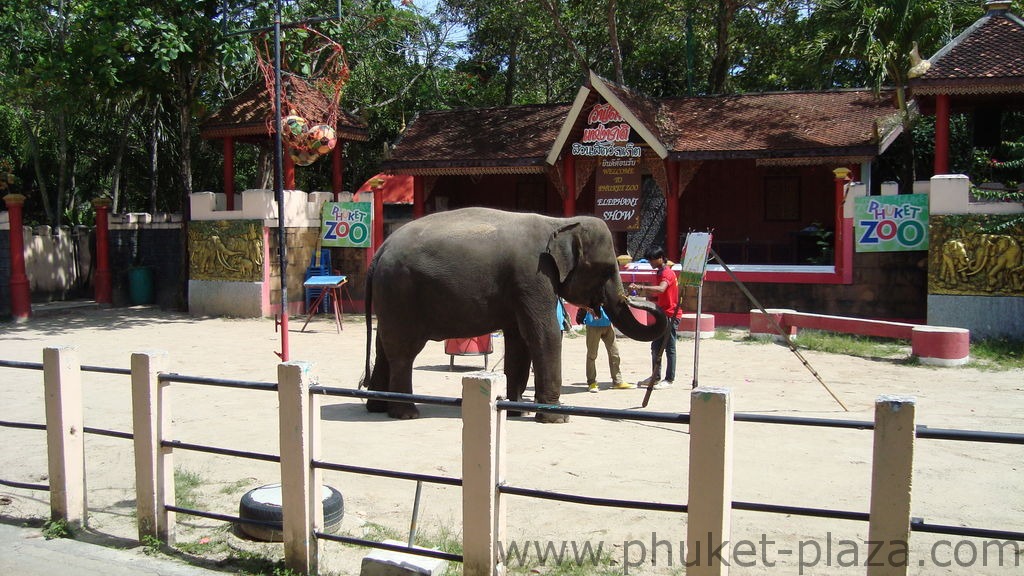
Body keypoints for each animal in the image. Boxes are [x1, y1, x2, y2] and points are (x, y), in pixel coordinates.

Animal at [362, 207, 671, 422]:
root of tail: (379, 252)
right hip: (401, 292)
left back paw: (376, 407)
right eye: (606, 269)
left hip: (389, 298)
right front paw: (556, 418)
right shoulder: (533, 276)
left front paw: (516, 411)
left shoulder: (522, 287)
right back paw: (406, 413)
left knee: (384, 347)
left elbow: (519, 341)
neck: (558, 222)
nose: (637, 293)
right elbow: (544, 334)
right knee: (403, 351)